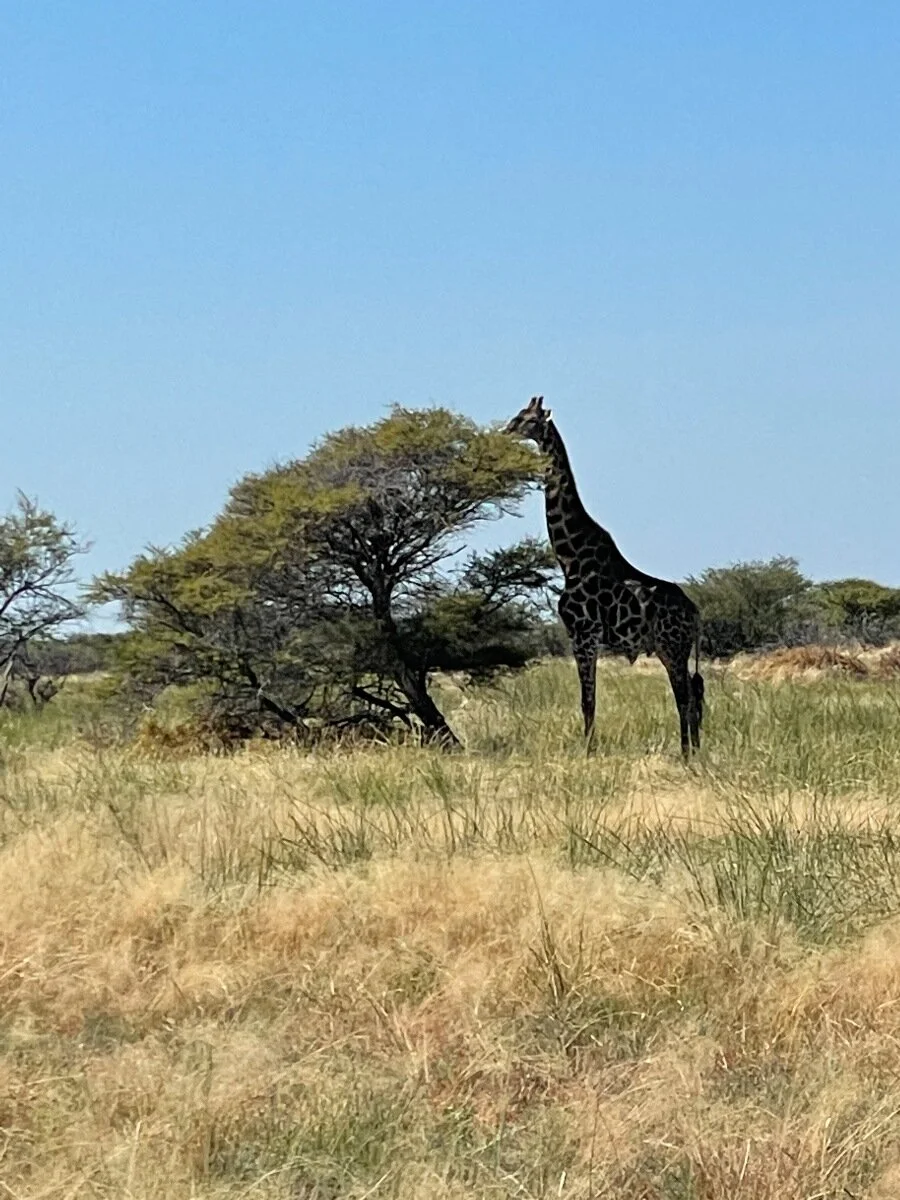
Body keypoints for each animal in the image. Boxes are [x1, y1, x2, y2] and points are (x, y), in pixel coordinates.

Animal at [505, 396, 704, 758]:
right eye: (519, 415)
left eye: (528, 419)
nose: (505, 430)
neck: (569, 558)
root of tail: (696, 613)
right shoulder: (585, 638)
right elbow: (589, 700)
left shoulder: (582, 635)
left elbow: (587, 701)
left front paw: (587, 751)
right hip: (674, 649)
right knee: (693, 696)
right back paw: (692, 750)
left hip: (673, 647)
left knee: (684, 698)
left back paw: (685, 753)